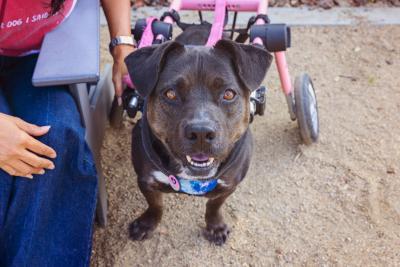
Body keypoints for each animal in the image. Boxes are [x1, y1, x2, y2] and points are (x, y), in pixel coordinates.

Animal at [125, 26, 274, 246]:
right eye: (170, 94)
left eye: (228, 94)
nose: (201, 132)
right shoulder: (145, 179)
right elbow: (155, 204)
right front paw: (146, 223)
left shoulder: (229, 184)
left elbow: (214, 205)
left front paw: (215, 226)